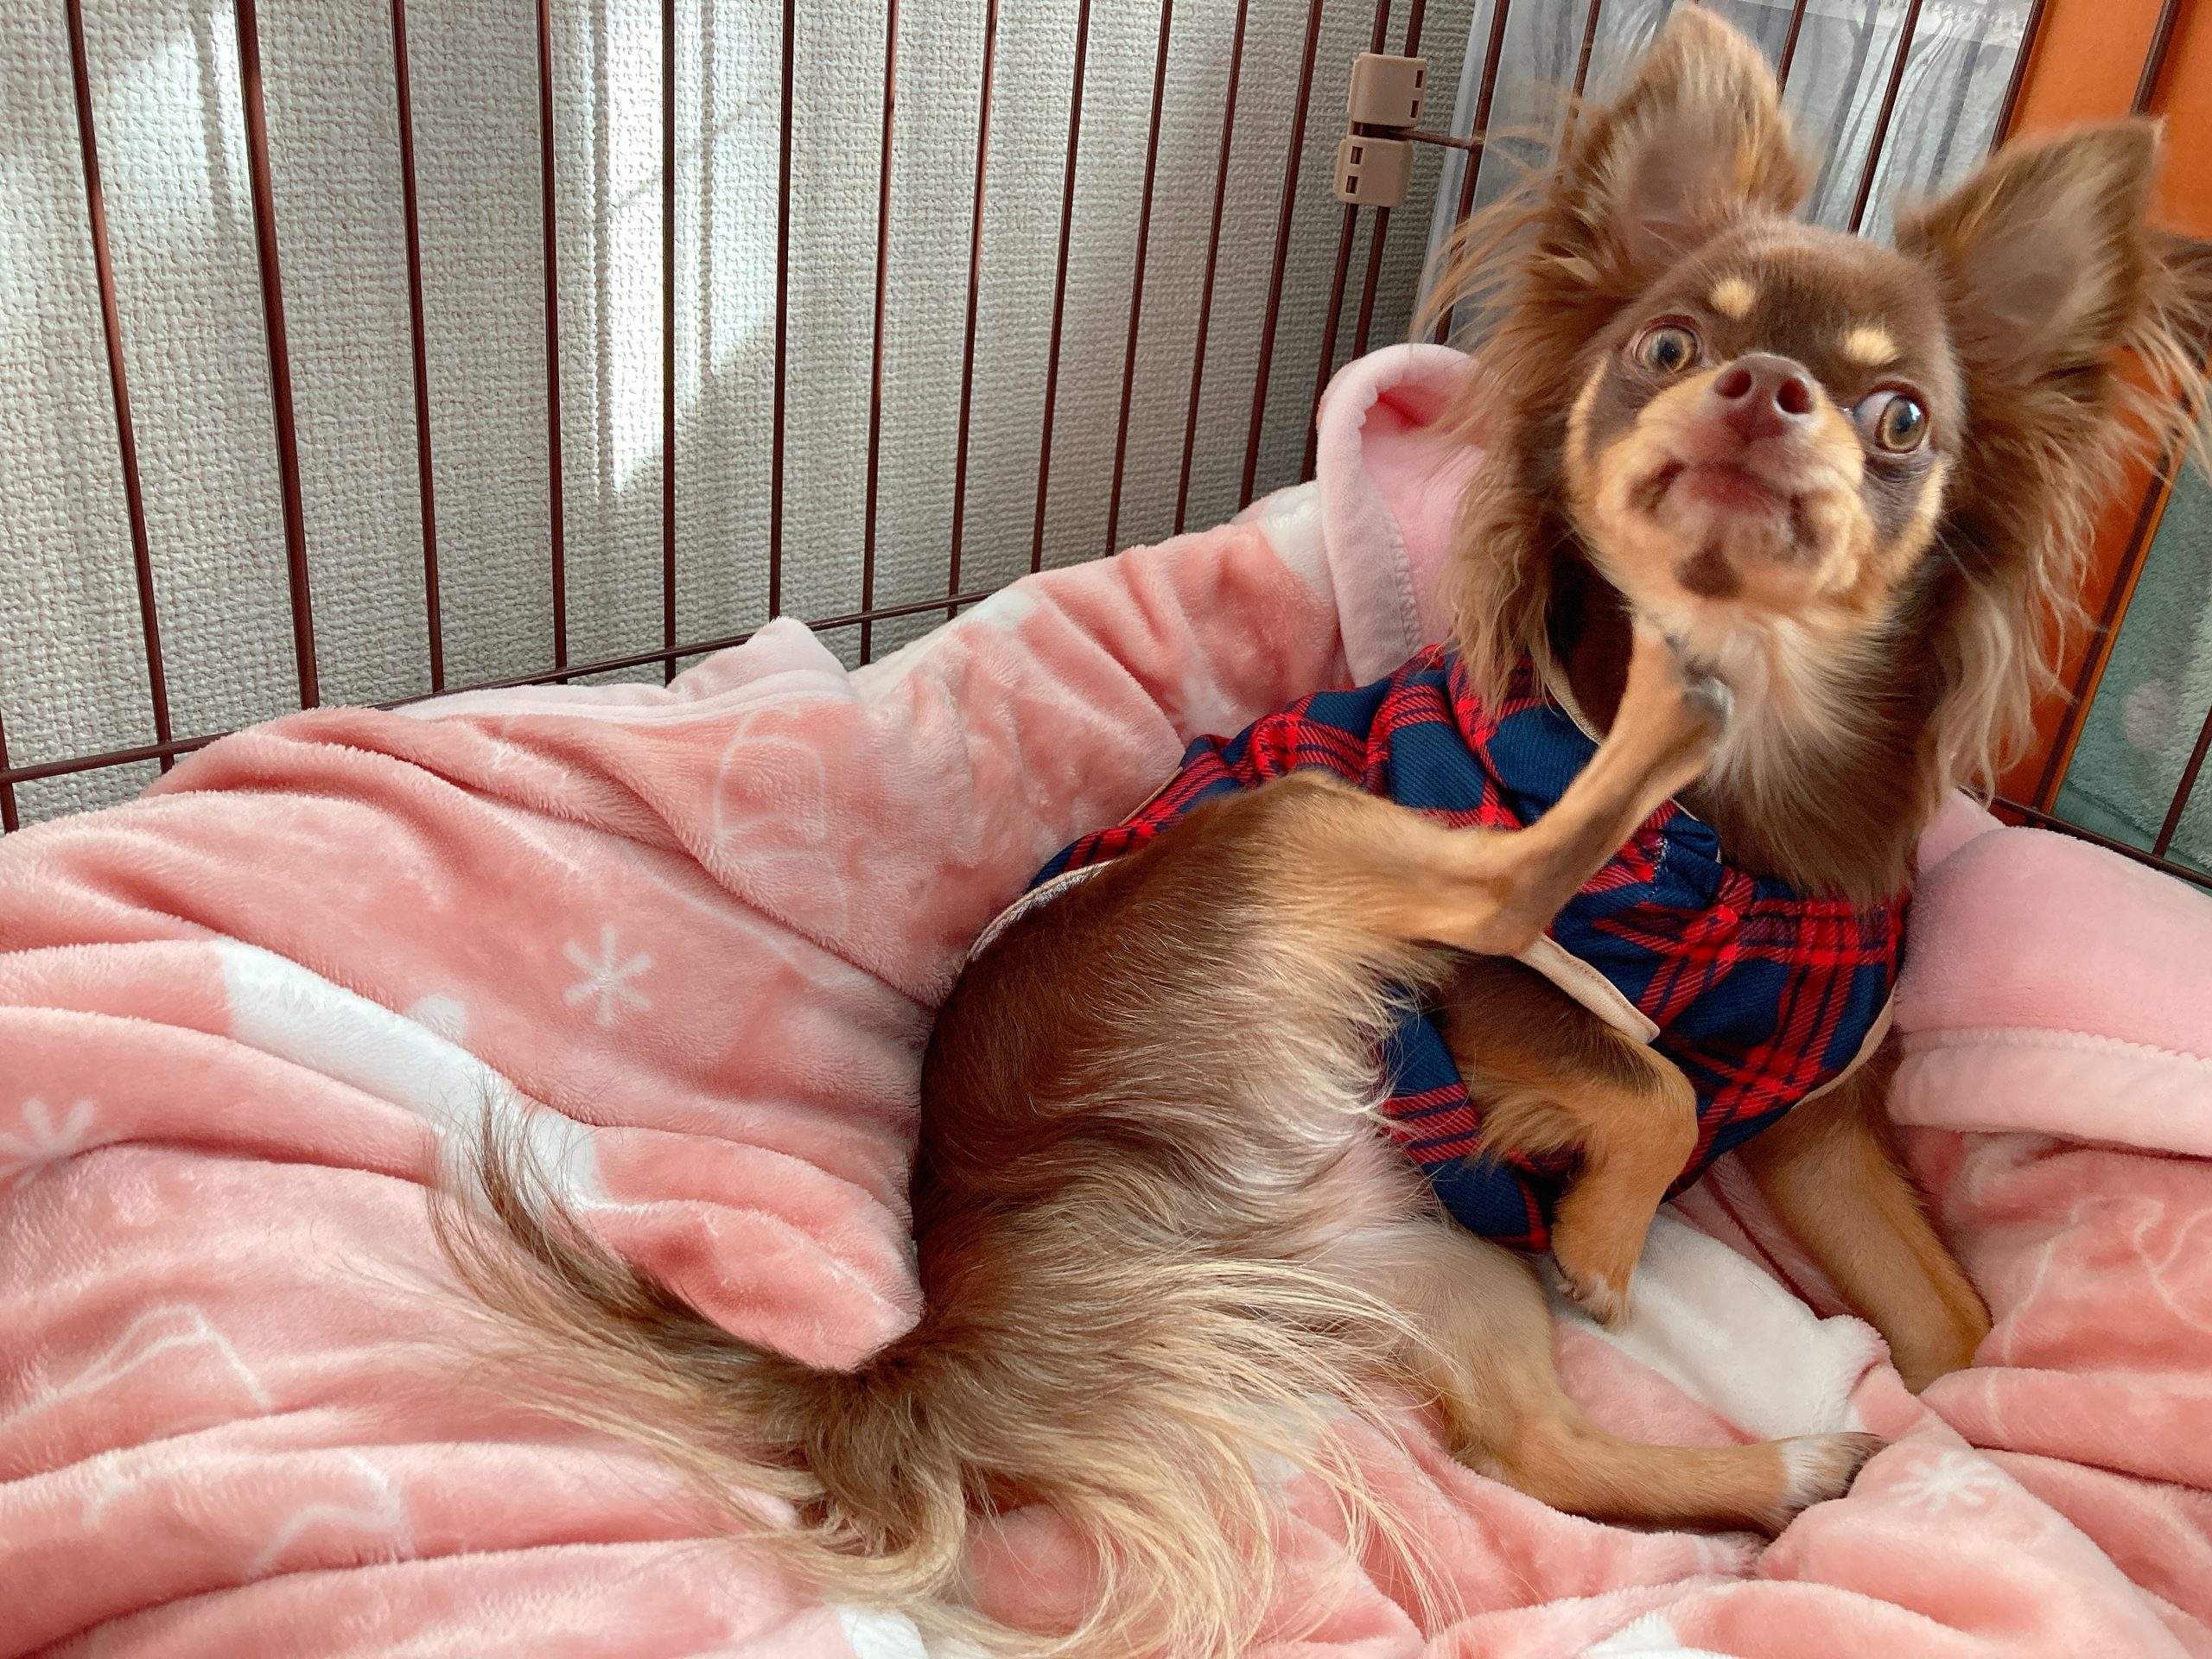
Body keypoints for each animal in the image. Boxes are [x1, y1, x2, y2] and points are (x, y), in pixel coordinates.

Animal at [447, 11, 2211, 1654]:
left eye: (1904, 418)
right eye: (1659, 347)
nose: (1762, 393)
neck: (1758, 824)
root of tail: (969, 1272)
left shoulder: (1815, 1125)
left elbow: (1953, 1316)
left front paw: (1979, 1438)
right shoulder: (1503, 1014)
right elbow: (1640, 1077)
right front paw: (1614, 1241)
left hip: (1438, 1254)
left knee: (1536, 1455)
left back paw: (1794, 1470)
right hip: (1292, 844)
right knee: (1505, 898)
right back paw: (1663, 724)